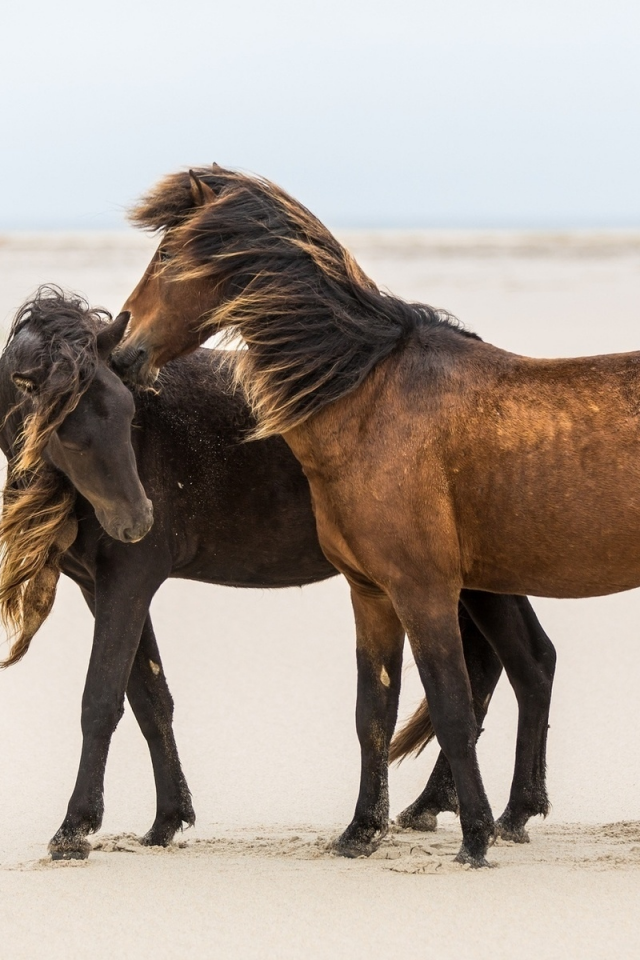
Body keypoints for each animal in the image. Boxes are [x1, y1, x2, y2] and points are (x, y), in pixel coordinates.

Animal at [0, 288, 552, 860]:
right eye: (68, 433)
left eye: (130, 413)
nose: (136, 520)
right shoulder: (102, 587)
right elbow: (150, 700)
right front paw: (167, 820)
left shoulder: (129, 581)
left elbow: (101, 701)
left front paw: (74, 829)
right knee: (520, 662)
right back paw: (459, 807)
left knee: (520, 664)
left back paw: (500, 812)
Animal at [109, 165, 620, 872]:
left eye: (164, 255)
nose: (118, 343)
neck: (369, 395)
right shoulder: (371, 593)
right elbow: (372, 712)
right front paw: (360, 831)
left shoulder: (422, 591)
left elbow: (452, 708)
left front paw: (473, 841)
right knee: (530, 665)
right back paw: (515, 813)